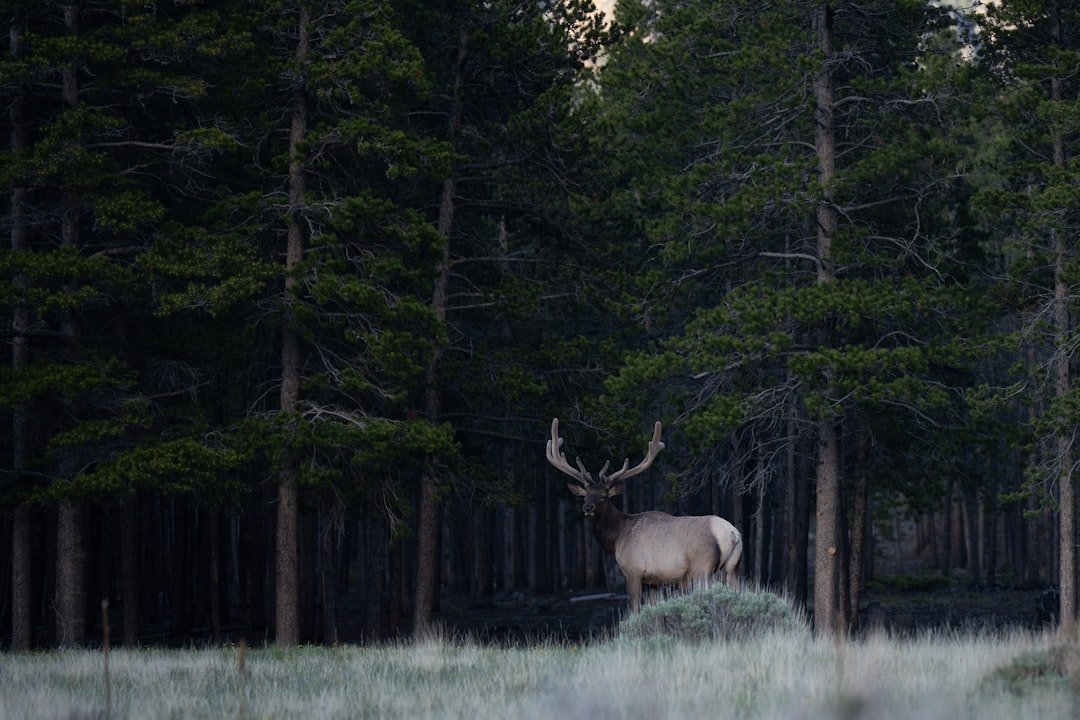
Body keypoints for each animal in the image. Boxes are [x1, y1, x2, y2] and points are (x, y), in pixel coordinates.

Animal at [546, 418, 742, 612]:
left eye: (604, 496)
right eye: (585, 495)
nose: (587, 507)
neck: (617, 537)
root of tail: (732, 534)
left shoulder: (633, 571)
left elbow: (634, 608)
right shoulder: (654, 582)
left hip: (701, 568)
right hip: (732, 567)